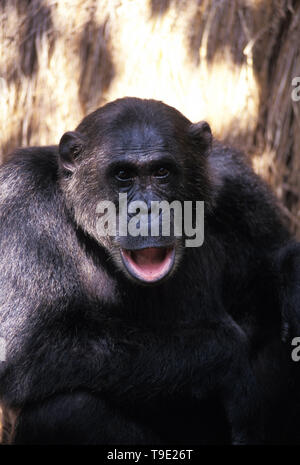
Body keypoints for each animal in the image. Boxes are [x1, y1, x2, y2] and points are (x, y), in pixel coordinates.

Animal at [0, 96, 298, 444]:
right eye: (123, 175)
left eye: (162, 171)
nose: (148, 208)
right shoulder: (19, 199)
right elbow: (22, 343)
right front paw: (226, 356)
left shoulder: (240, 187)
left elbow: (272, 257)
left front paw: (292, 275)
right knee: (66, 411)